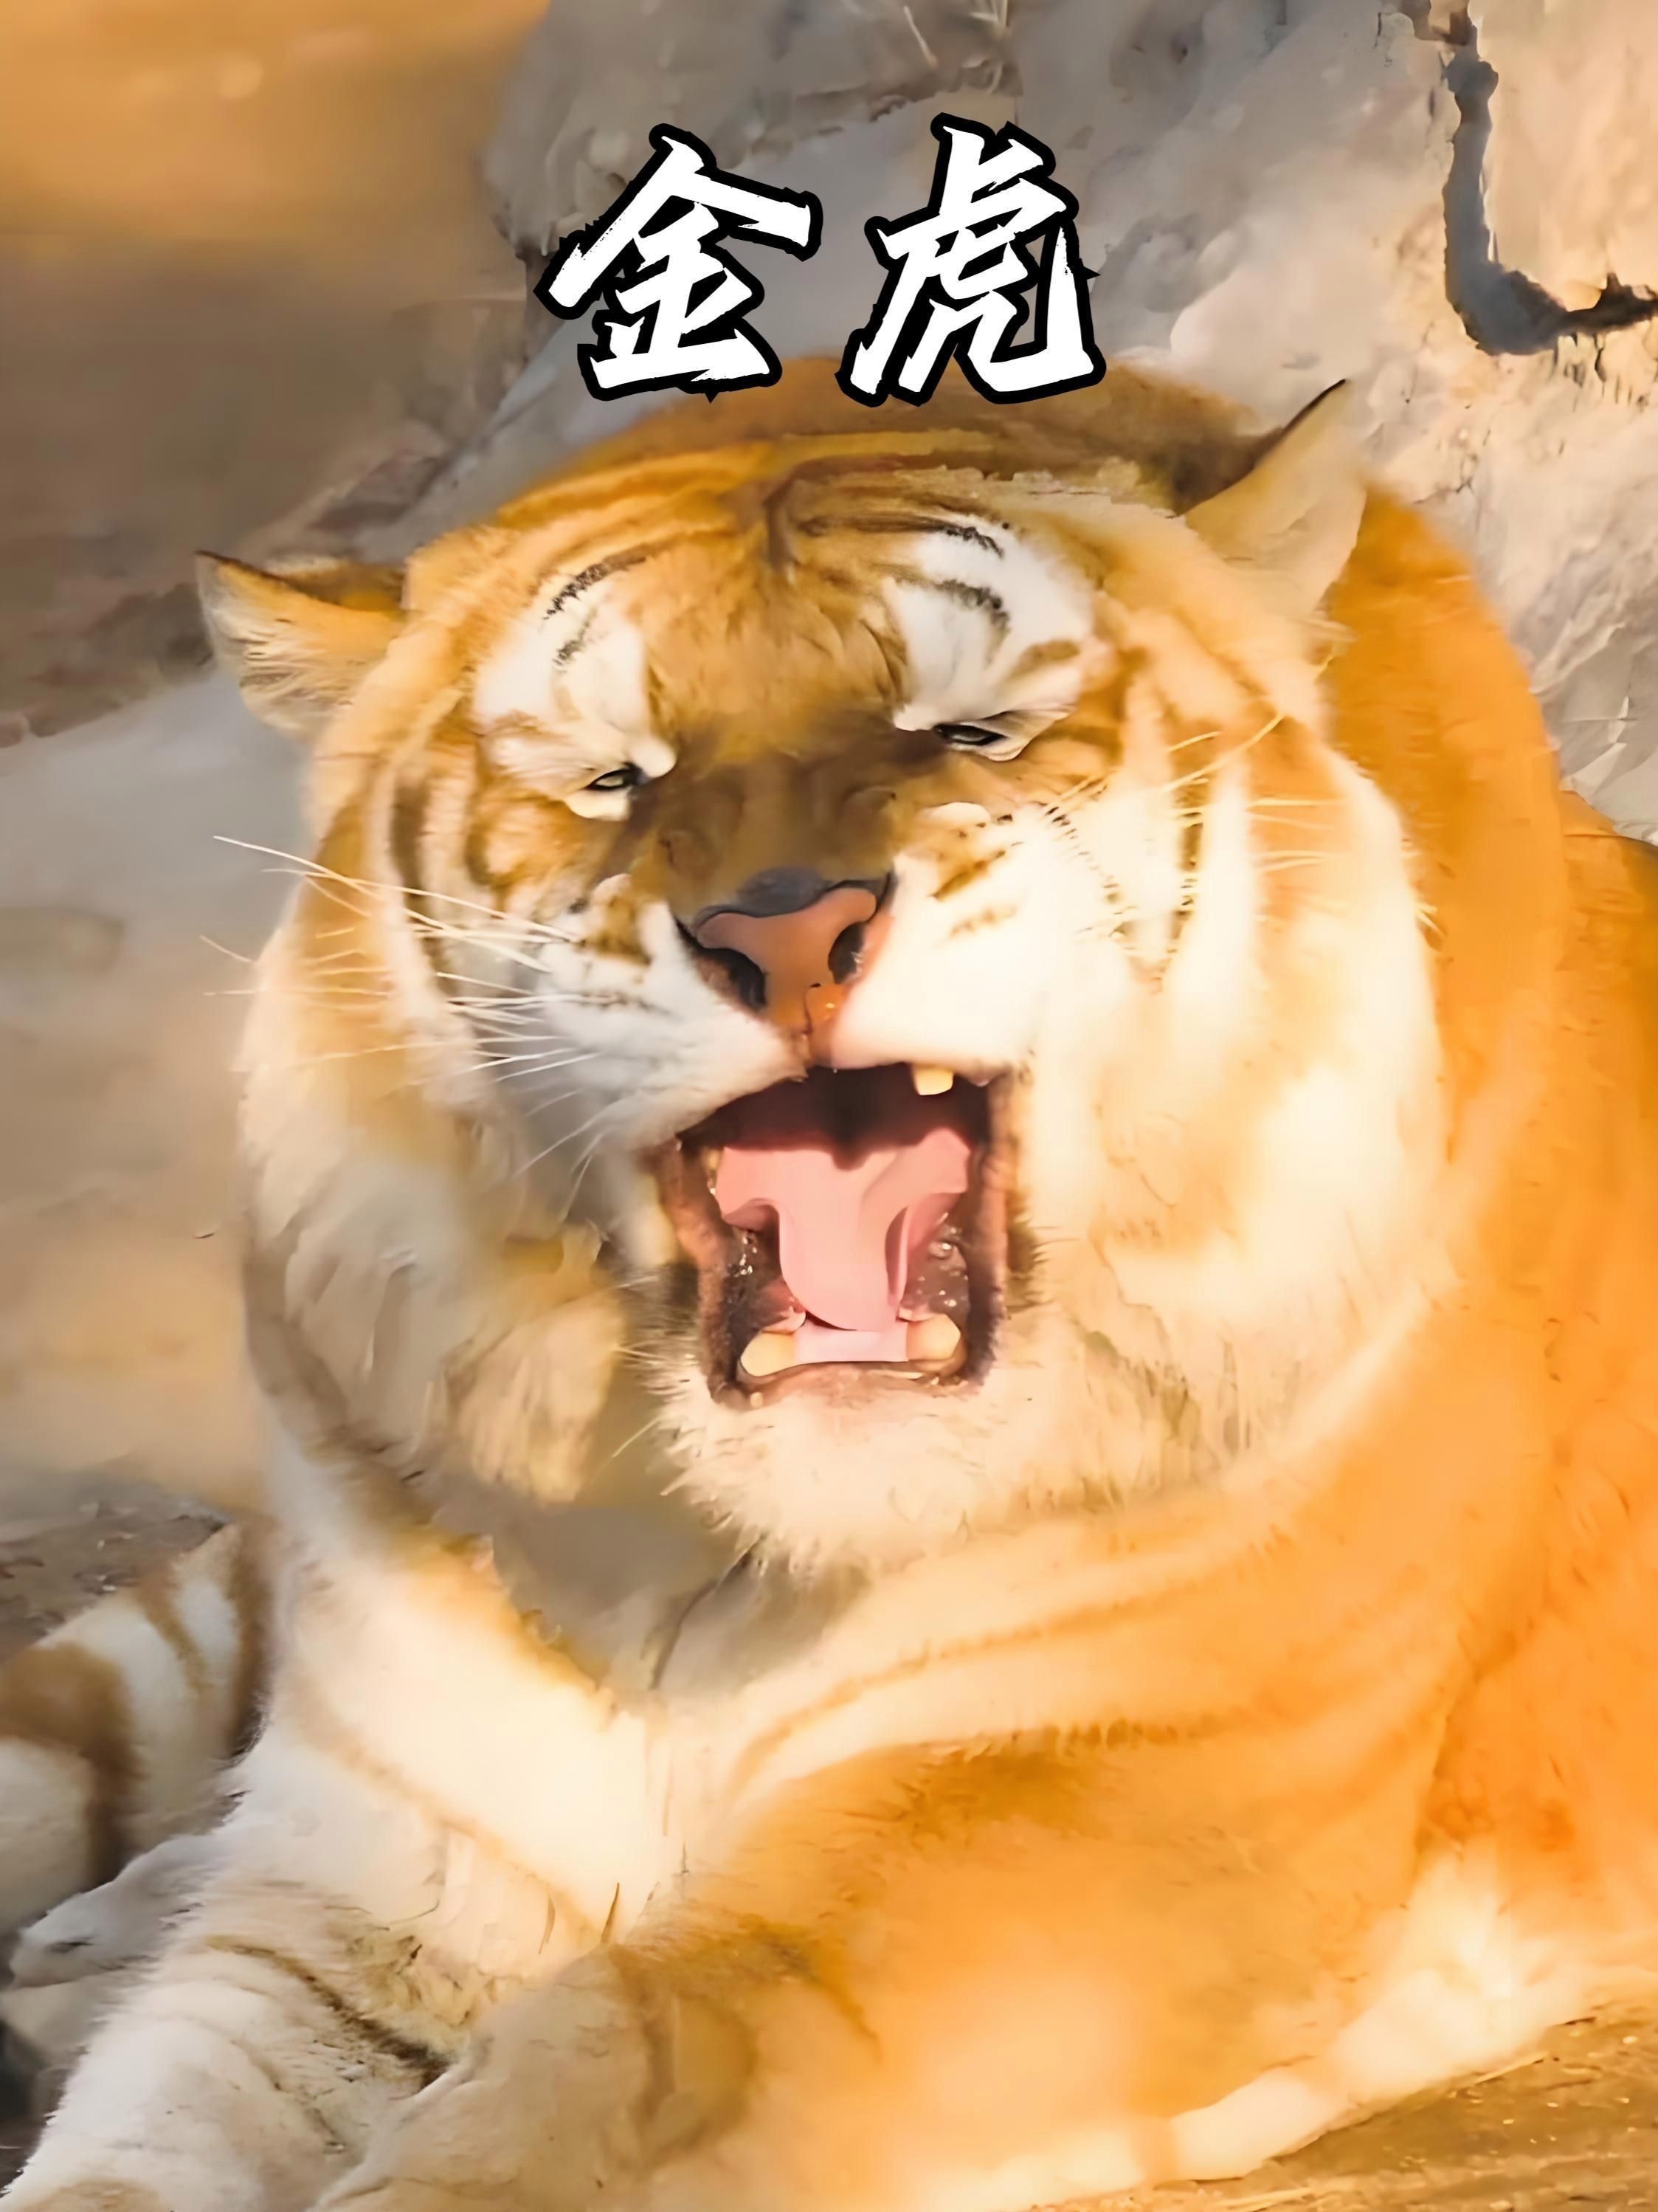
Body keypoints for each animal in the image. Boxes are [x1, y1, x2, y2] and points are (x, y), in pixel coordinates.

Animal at [5, 353, 1658, 2212]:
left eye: (963, 731)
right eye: (613, 777)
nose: (785, 932)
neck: (703, 1558)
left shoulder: (1118, 1796)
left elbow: (620, 2059)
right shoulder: (368, 1858)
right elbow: (155, 2121)